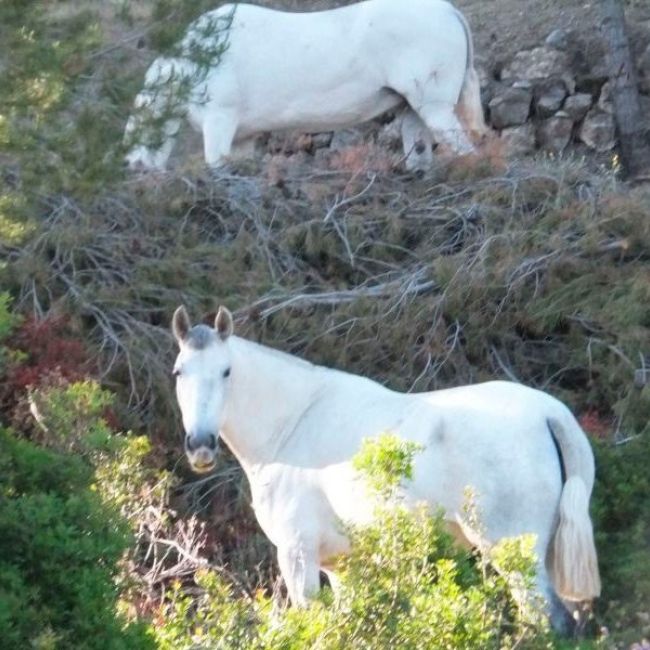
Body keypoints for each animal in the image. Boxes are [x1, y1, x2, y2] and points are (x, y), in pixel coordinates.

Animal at [125, 0, 487, 172]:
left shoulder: (220, 118)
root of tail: (449, 11)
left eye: (137, 130)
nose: (133, 167)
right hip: (411, 105)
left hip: (434, 104)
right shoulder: (243, 136)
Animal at [171, 305, 600, 633]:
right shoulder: (340, 567)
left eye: (226, 371)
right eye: (179, 372)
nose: (201, 445)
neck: (294, 423)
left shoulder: (297, 554)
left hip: (516, 558)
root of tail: (549, 413)